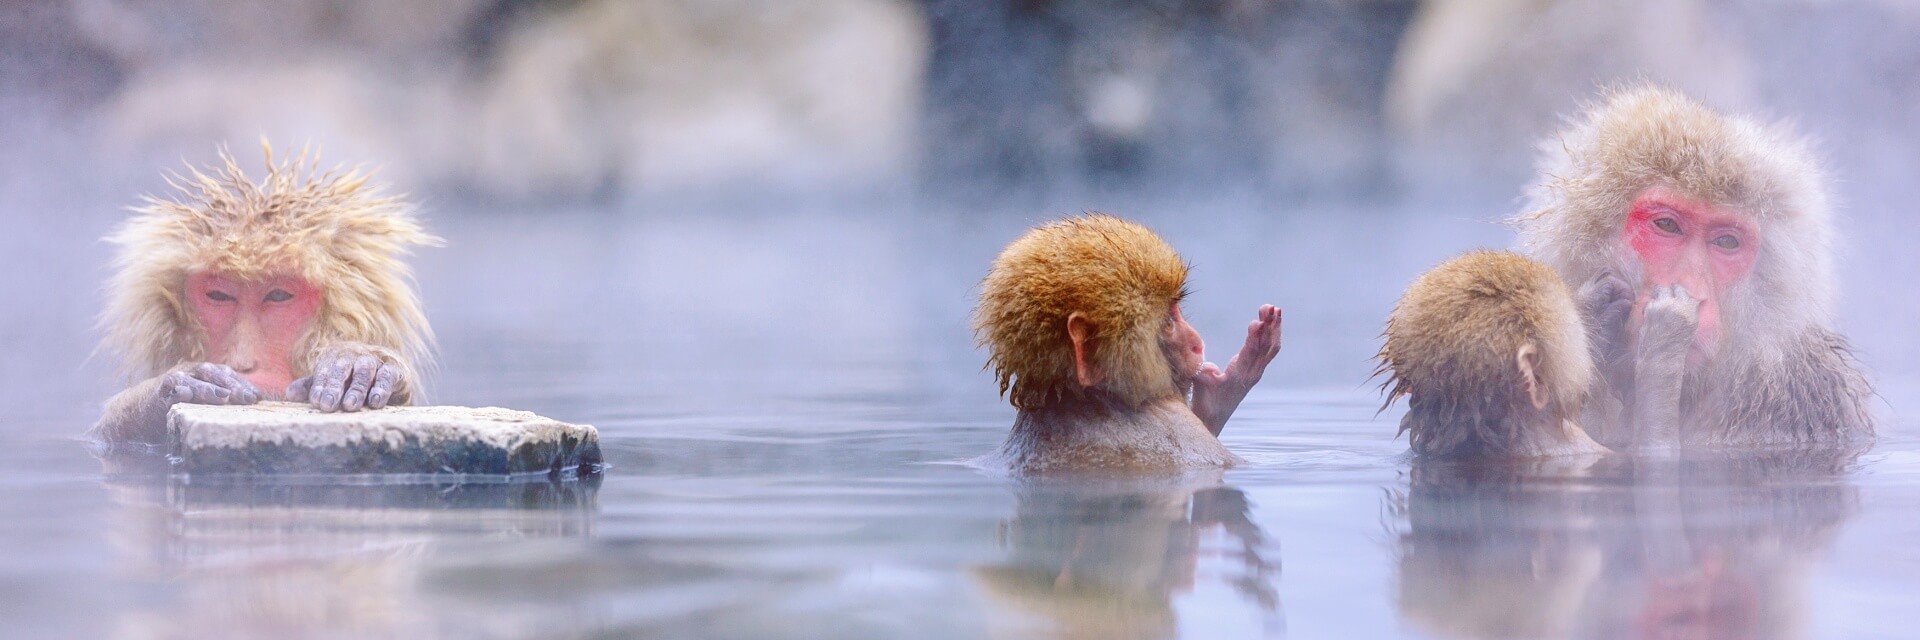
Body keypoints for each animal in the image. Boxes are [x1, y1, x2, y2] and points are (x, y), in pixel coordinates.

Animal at [1513, 86, 1874, 450]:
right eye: (1667, 225)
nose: (1693, 292)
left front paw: (1663, 345)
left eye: (1726, 242)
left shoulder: (1806, 393)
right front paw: (1591, 316)